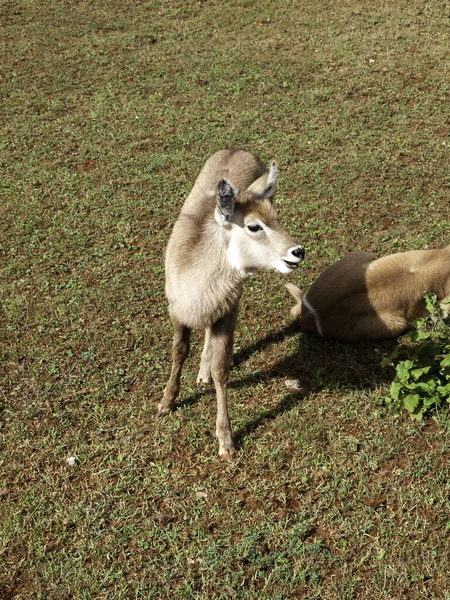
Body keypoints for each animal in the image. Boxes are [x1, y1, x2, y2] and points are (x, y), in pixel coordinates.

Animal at [159, 150, 306, 460]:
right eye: (254, 225)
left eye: (275, 217)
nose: (297, 252)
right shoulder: (177, 312)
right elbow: (178, 351)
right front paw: (166, 402)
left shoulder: (227, 311)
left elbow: (220, 369)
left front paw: (225, 441)